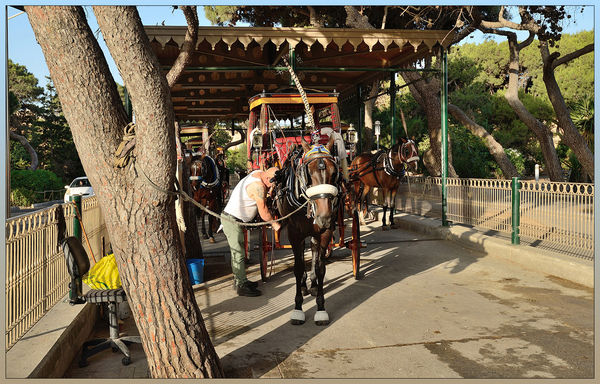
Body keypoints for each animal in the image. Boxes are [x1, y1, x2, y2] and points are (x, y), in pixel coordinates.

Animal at [272, 136, 342, 326]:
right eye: (308, 173)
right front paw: (298, 309)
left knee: (314, 248)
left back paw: (313, 284)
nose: (324, 217)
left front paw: (321, 309)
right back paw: (303, 285)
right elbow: (297, 267)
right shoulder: (294, 233)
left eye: (334, 172)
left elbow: (320, 268)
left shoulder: (325, 232)